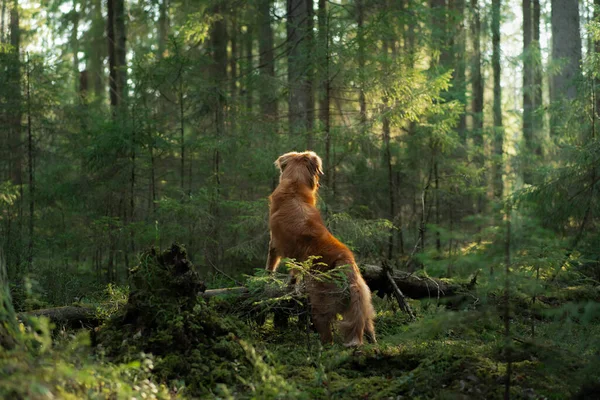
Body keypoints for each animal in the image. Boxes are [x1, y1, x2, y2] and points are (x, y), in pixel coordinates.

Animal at [266, 152, 376, 346]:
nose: (319, 184)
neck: (294, 186)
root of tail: (345, 262)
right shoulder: (297, 259)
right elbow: (294, 275)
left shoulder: (274, 244)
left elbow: (269, 267)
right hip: (364, 308)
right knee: (368, 330)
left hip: (320, 308)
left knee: (328, 339)